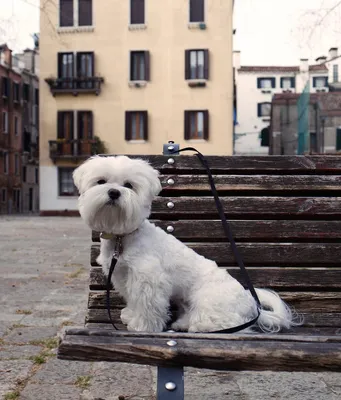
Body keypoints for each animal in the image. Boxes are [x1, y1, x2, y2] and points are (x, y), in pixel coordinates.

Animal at [73, 155, 298, 332]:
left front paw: (143, 325)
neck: (122, 236)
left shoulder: (149, 278)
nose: (114, 192)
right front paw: (131, 315)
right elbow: (133, 299)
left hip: (208, 301)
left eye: (129, 185)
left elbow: (147, 304)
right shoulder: (122, 275)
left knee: (224, 322)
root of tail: (253, 307)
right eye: (101, 181)